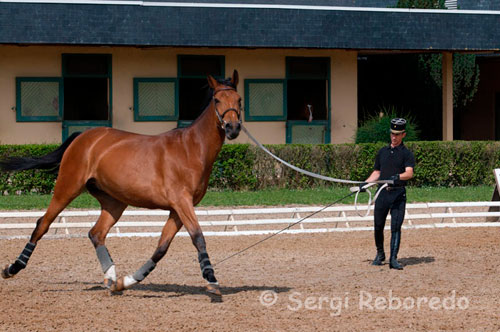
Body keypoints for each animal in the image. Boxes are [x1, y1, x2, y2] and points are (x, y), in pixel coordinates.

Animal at [0, 70, 242, 296]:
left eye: (239, 99)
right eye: (217, 100)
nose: (233, 128)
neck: (191, 148)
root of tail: (84, 136)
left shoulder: (177, 209)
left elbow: (161, 248)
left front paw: (125, 282)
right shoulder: (182, 202)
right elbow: (198, 237)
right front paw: (211, 279)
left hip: (114, 201)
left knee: (96, 233)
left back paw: (111, 279)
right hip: (67, 188)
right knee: (43, 224)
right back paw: (12, 268)